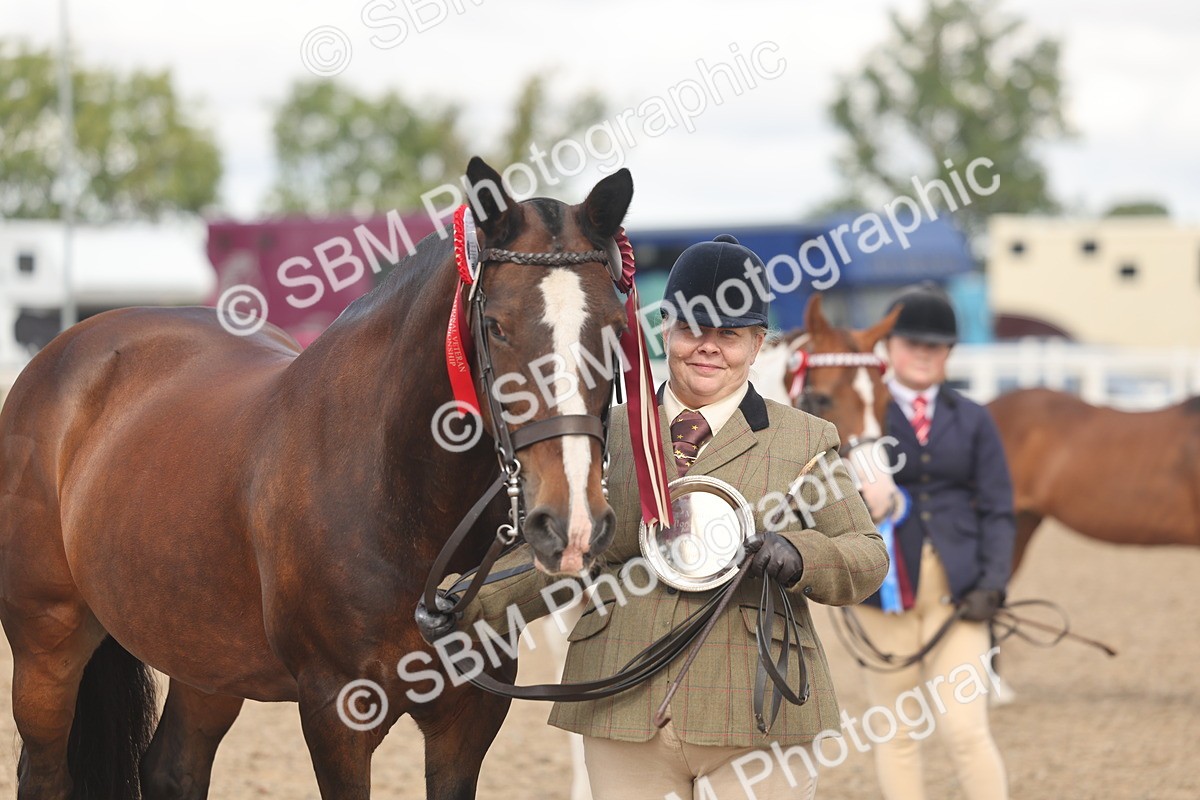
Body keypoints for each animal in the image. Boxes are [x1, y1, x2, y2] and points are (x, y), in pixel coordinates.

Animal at [0, 156, 634, 800]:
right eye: (498, 326)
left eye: (614, 327)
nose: (571, 521)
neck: (393, 490)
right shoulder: (336, 712)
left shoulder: (467, 721)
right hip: (47, 644)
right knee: (45, 770)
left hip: (207, 657)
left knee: (172, 767)